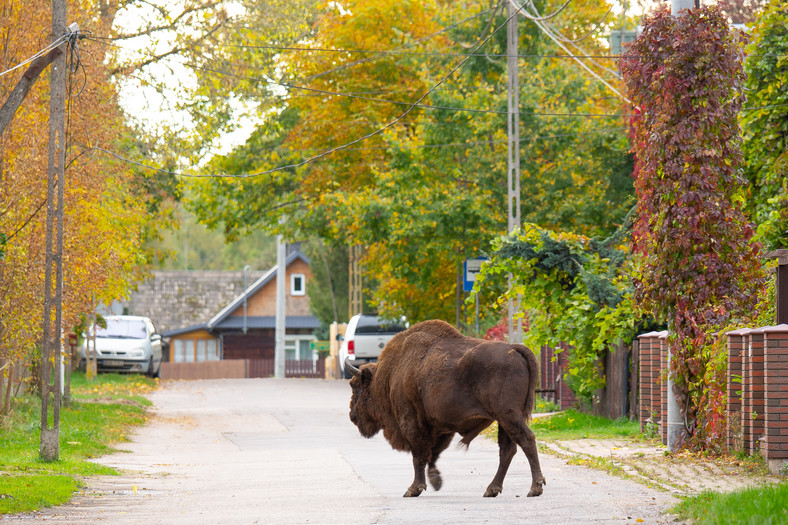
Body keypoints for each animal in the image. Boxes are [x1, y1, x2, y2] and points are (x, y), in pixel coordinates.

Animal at [348, 320, 544, 496]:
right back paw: (492, 489)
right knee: (507, 449)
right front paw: (435, 480)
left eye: (355, 386)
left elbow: (419, 455)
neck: (389, 374)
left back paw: (535, 488)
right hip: (504, 420)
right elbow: (432, 454)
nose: (352, 416)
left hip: (508, 415)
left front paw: (414, 489)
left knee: (526, 439)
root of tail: (515, 348)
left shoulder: (411, 422)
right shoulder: (440, 427)